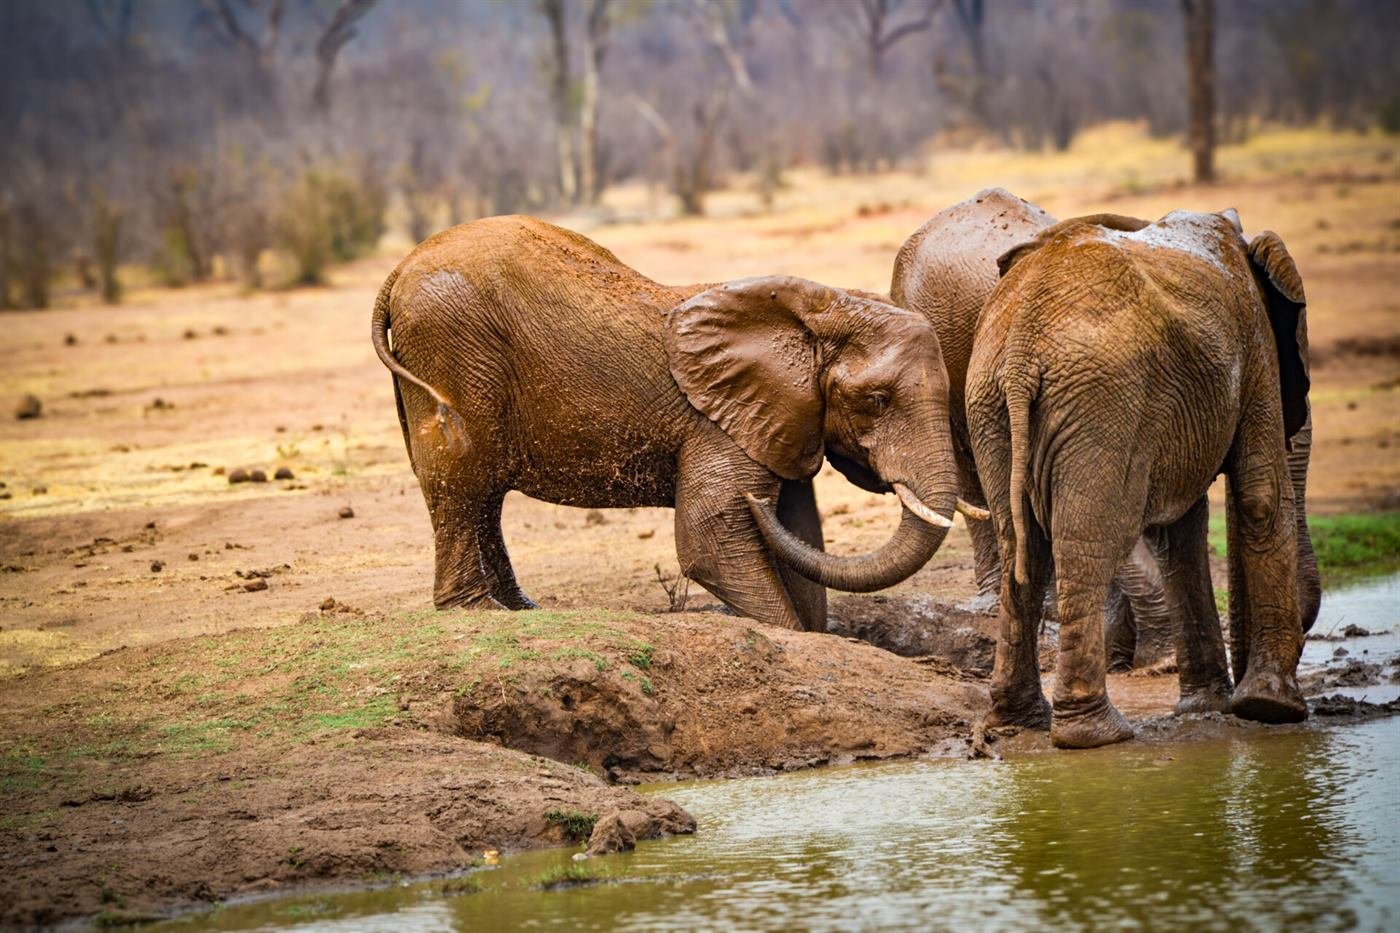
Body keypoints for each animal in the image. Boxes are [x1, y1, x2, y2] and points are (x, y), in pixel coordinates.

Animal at [371, 215, 967, 632]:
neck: (817, 307)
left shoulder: (782, 417)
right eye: (877, 400)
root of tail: (400, 268)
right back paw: (478, 612)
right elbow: (709, 539)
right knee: (461, 477)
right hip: (452, 346)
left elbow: (797, 530)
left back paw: (520, 608)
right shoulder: (719, 424)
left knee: (481, 491)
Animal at [966, 207, 1312, 748]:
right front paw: (1271, 709)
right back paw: (1098, 734)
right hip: (1104, 401)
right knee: (1089, 541)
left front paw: (1208, 707)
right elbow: (1261, 494)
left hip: (991, 404)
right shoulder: (1256, 343)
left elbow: (1179, 531)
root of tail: (1021, 348)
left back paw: (1018, 721)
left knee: (1021, 546)